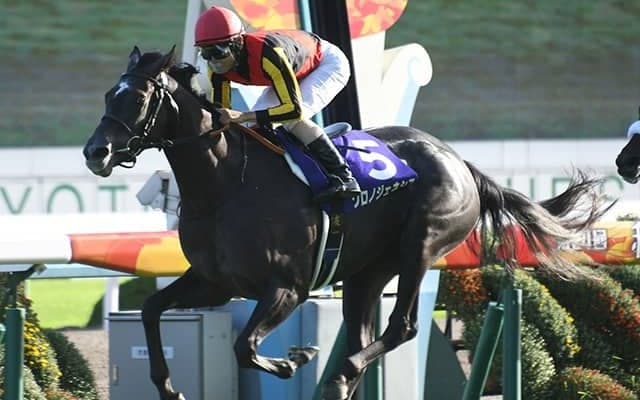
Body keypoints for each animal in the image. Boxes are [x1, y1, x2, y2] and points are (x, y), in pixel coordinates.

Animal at [83, 46, 610, 400]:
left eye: (138, 99)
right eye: (109, 94)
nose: (95, 152)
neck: (226, 185)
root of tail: (459, 160)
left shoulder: (287, 287)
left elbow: (245, 347)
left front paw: (295, 360)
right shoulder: (215, 282)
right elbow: (152, 310)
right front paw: (169, 387)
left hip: (420, 247)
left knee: (401, 329)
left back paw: (337, 376)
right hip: (366, 271)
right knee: (362, 333)